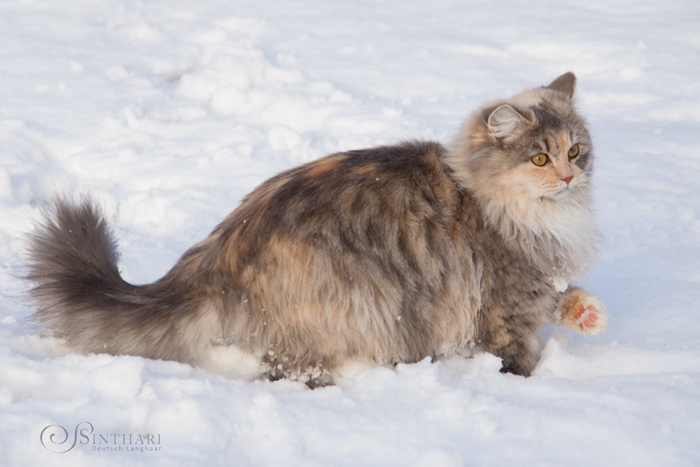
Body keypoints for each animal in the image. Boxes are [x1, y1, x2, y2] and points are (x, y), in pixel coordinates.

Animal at [26, 72, 608, 388]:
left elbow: (565, 297)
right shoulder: (505, 305)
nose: (569, 175)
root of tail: (215, 258)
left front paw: (587, 312)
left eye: (577, 150)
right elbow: (517, 355)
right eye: (539, 157)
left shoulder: (542, 279)